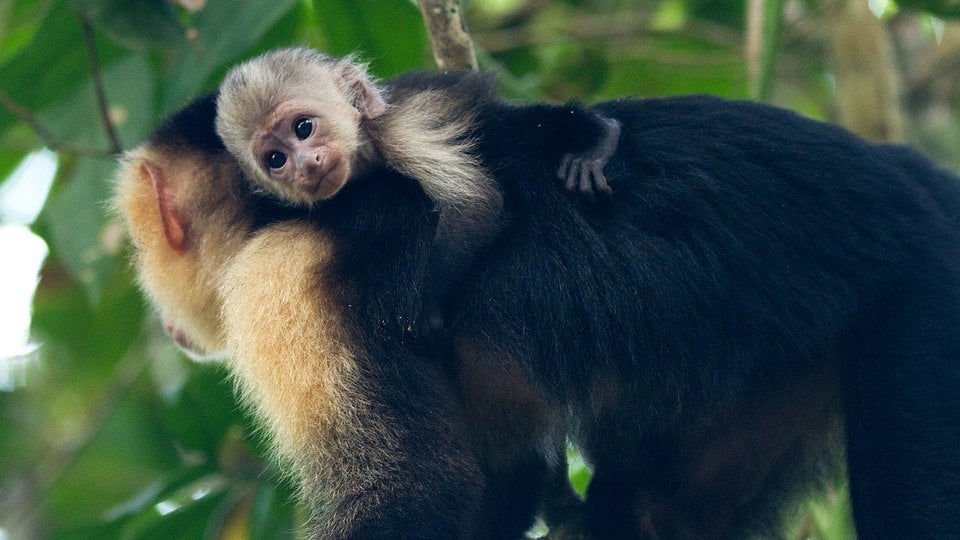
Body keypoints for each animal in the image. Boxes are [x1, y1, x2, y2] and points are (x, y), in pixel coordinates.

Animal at [114, 88, 960, 539]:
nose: (168, 322)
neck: (273, 214)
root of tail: (903, 171)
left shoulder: (282, 283)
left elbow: (411, 494)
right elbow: (500, 480)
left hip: (923, 289)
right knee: (648, 509)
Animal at [214, 47, 622, 342]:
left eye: (303, 127)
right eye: (276, 159)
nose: (305, 166)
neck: (365, 150)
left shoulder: (399, 132)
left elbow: (475, 204)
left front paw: (428, 317)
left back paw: (601, 135)